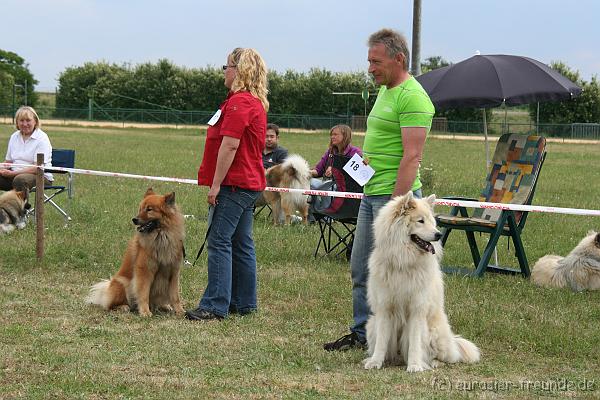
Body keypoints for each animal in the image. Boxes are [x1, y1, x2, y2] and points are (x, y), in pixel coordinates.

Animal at [86, 189, 185, 318]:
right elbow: (143, 294)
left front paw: (179, 310)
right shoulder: (144, 272)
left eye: (149, 209)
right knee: (111, 305)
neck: (161, 236)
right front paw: (145, 312)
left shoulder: (173, 273)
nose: (134, 219)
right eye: (140, 208)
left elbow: (175, 296)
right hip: (122, 283)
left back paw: (164, 306)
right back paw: (123, 307)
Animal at [360, 193, 482, 372]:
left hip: (434, 332)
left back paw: (433, 363)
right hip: (371, 325)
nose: (438, 235)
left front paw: (415, 365)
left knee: (447, 357)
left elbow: (415, 343)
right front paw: (375, 362)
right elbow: (381, 342)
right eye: (420, 221)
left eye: (432, 221)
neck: (404, 262)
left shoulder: (417, 310)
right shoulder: (384, 309)